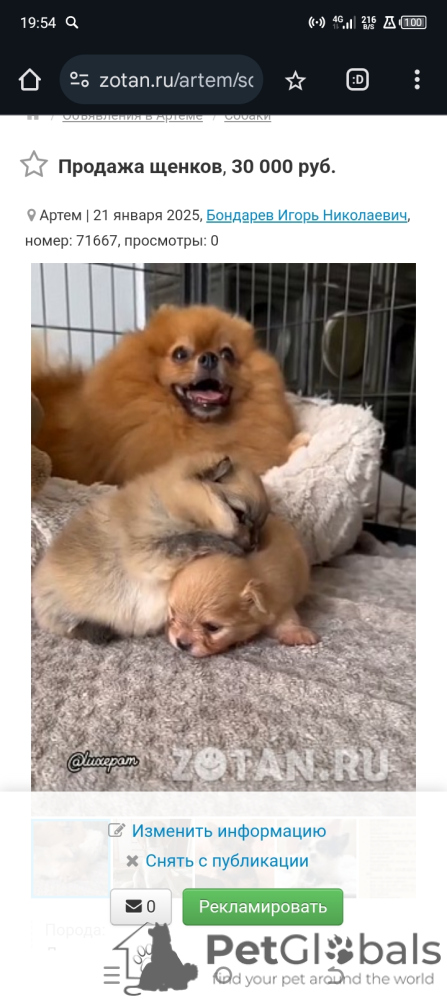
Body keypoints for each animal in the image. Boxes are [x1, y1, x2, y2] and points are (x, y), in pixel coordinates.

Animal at [32, 453, 269, 641]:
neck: (170, 503)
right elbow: (192, 540)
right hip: (58, 607)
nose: (254, 544)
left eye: (260, 526)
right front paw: (227, 546)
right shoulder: (147, 552)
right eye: (239, 514)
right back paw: (99, 631)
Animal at [167, 514, 319, 656]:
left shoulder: (280, 603)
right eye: (173, 614)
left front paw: (297, 633)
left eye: (212, 627)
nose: (182, 643)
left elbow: (287, 620)